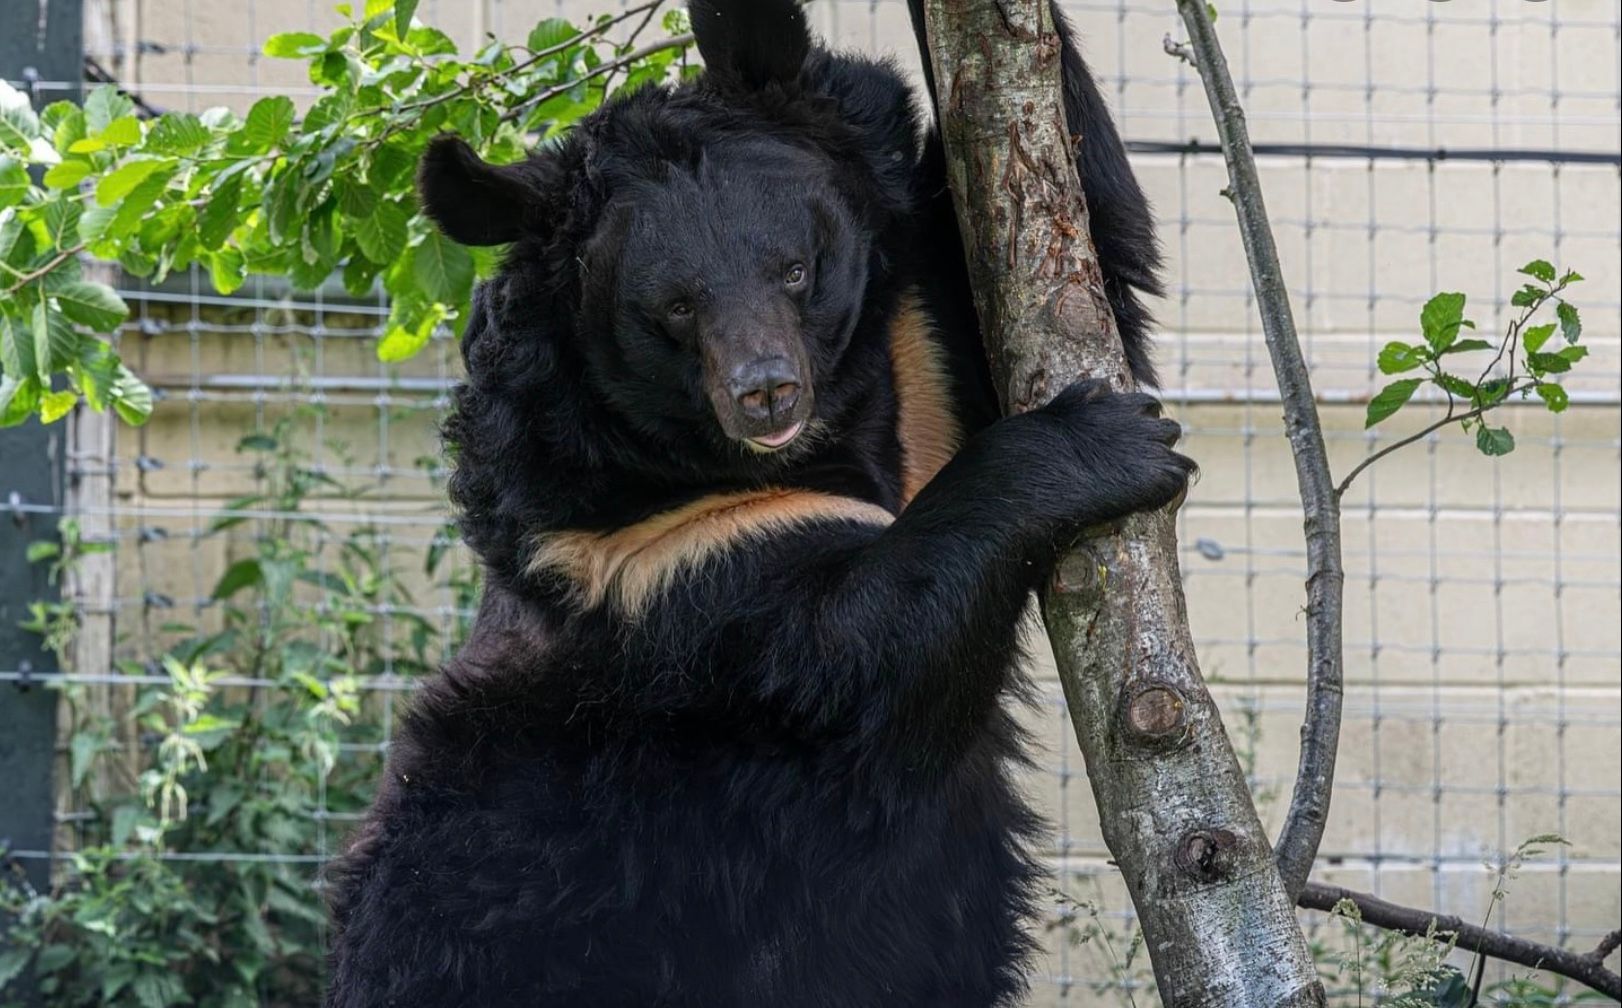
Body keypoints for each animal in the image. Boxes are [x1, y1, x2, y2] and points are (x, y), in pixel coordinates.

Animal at [322, 1, 1187, 1006]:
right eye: (674, 308)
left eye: (795, 270)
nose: (765, 392)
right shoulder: (653, 569)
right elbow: (861, 650)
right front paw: (1112, 444)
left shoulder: (921, 360)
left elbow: (1077, 249)